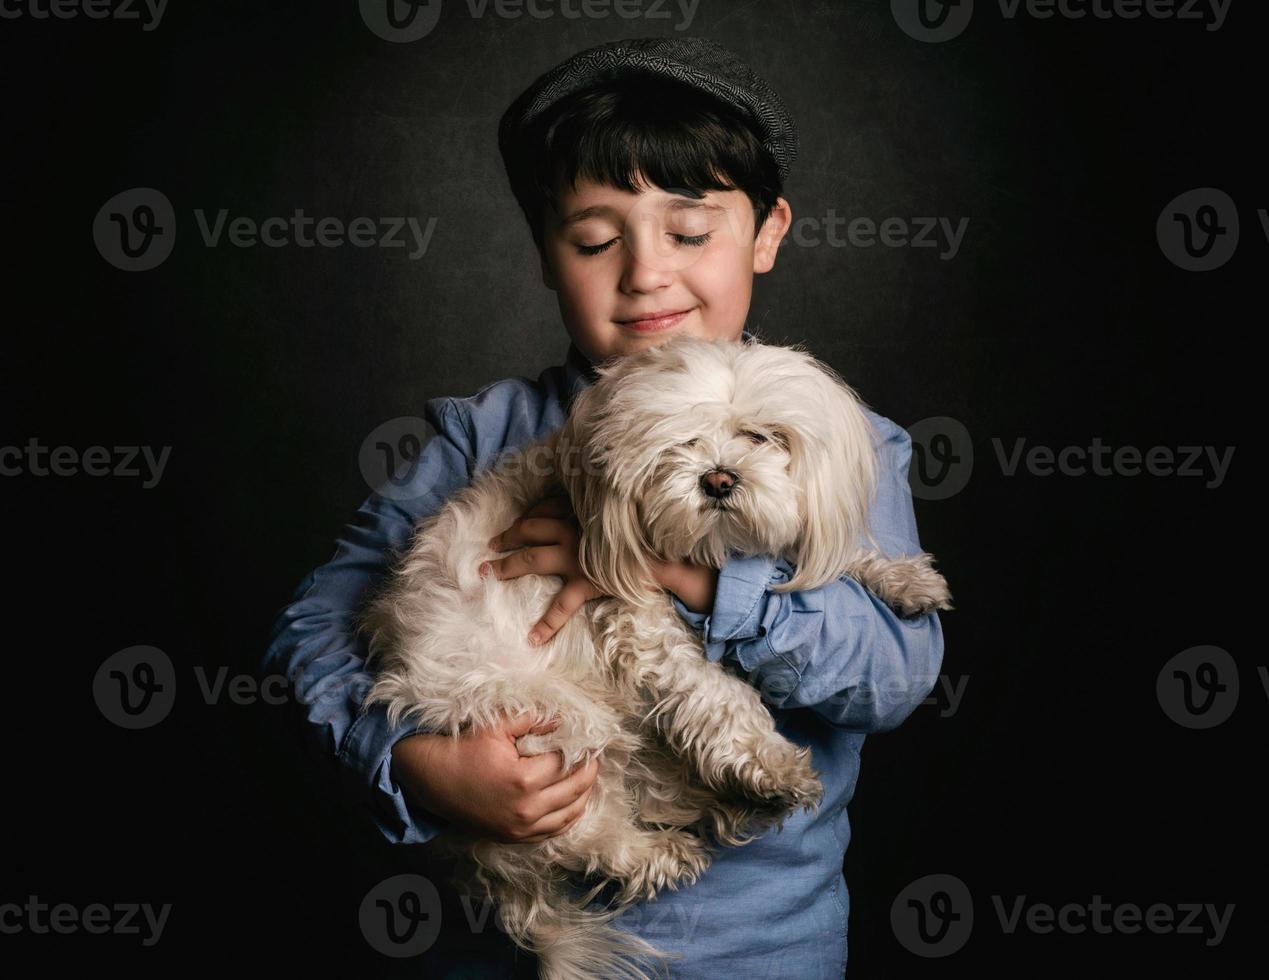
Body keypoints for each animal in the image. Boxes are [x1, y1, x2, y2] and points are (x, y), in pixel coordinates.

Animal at [357, 337, 954, 980]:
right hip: (547, 716)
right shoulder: (638, 621)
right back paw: (659, 847)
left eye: (759, 436)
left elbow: (817, 561)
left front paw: (902, 578)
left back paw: (730, 802)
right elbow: (723, 695)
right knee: (572, 829)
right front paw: (771, 761)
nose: (718, 479)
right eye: (679, 443)